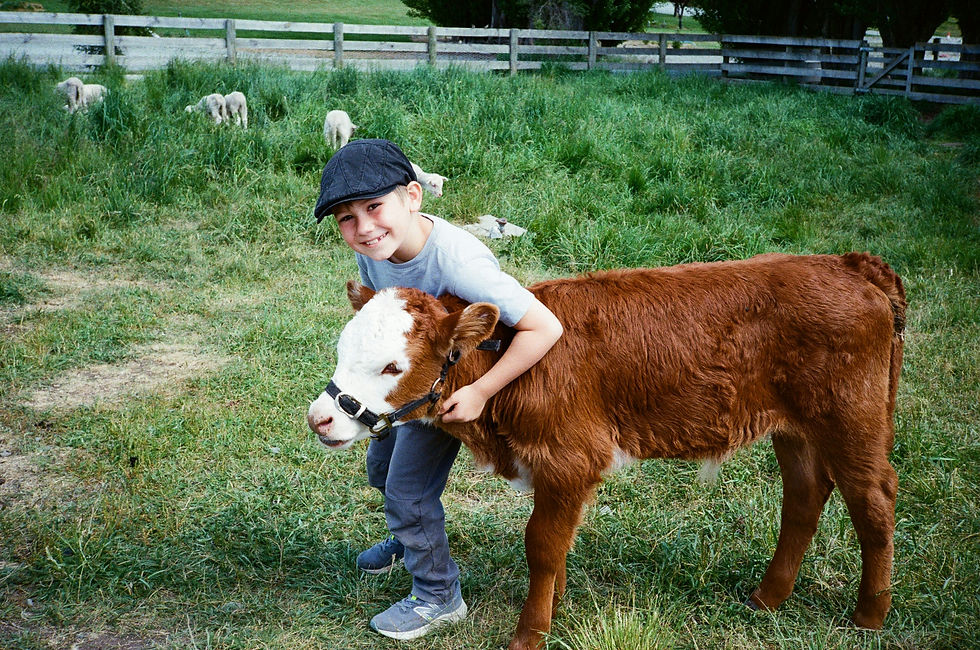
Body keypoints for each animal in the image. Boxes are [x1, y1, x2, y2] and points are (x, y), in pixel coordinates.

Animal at [306, 252, 906, 650]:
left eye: (393, 366)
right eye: (342, 347)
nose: (320, 417)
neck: (512, 366)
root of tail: (848, 264)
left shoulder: (570, 458)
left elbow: (541, 544)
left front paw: (530, 632)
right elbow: (557, 544)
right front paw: (555, 604)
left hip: (853, 417)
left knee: (873, 501)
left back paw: (870, 616)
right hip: (796, 428)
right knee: (805, 496)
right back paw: (768, 597)